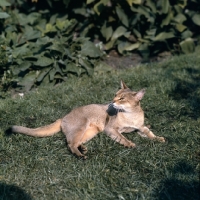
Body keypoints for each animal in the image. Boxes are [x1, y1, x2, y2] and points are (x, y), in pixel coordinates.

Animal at [9, 80, 166, 159]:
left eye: (121, 98)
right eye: (115, 95)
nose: (112, 101)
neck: (131, 115)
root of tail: (63, 116)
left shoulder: (141, 128)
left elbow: (150, 133)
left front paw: (159, 139)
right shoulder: (111, 129)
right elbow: (122, 137)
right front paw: (130, 144)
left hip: (91, 132)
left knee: (75, 141)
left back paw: (83, 148)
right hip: (81, 127)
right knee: (70, 144)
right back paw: (80, 155)